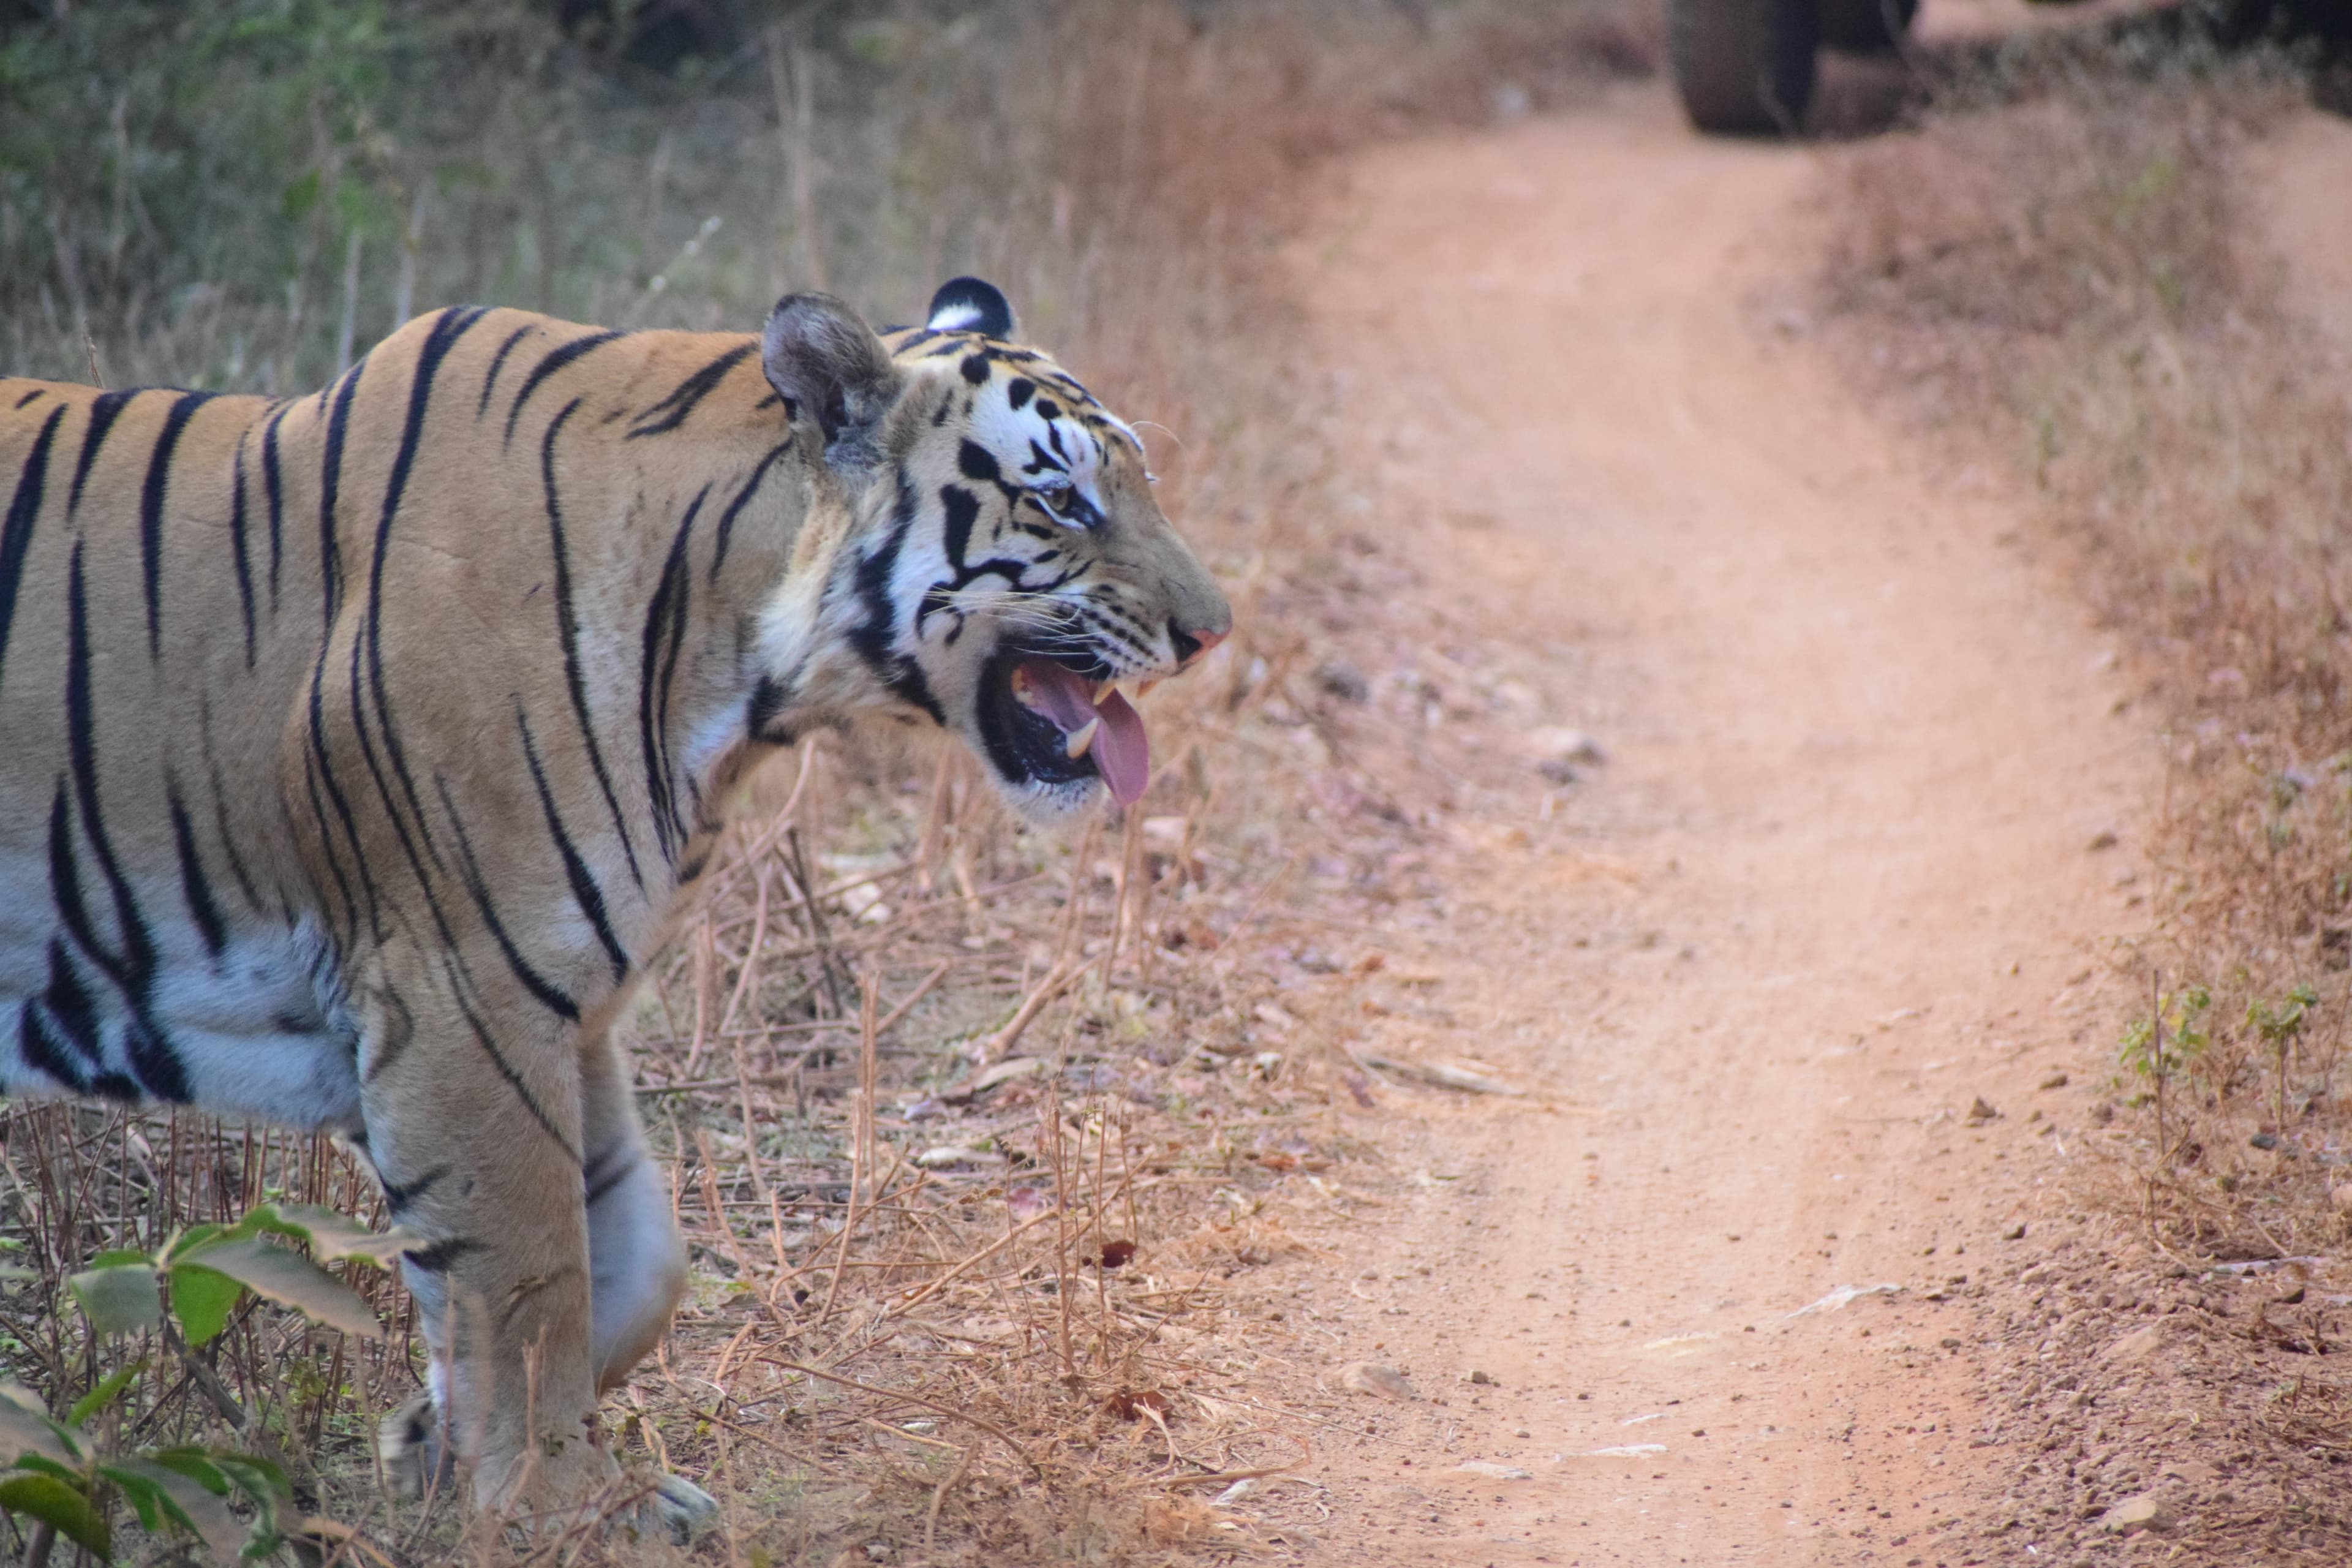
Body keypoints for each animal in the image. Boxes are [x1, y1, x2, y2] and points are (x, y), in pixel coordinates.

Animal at [0, 276, 1230, 1534]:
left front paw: (437, 1441)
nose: (1211, 631)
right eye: (1062, 499)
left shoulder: (564, 998)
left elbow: (631, 1262)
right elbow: (531, 1279)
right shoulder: (465, 995)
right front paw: (560, 1507)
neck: (734, 679)